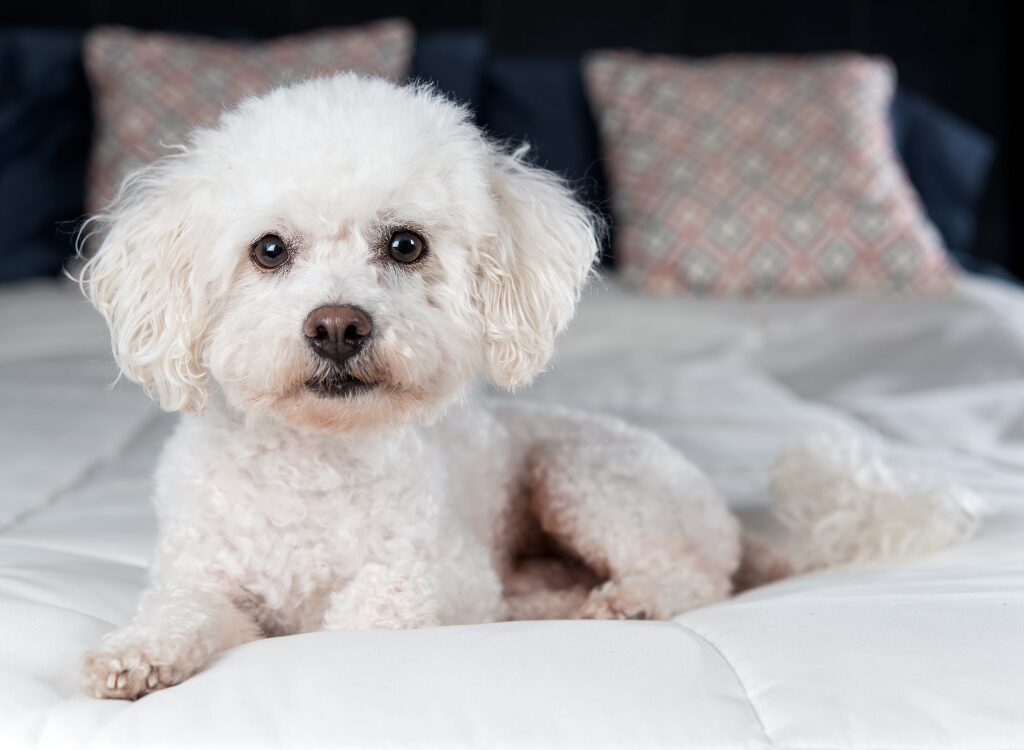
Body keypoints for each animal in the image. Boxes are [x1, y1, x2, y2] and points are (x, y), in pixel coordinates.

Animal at [77, 73, 974, 700]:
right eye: (269, 250)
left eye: (405, 245)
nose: (337, 326)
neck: (316, 463)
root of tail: (728, 517)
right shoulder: (200, 576)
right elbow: (177, 613)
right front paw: (134, 655)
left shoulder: (439, 572)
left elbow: (369, 610)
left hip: (587, 477)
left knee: (691, 573)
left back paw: (626, 600)